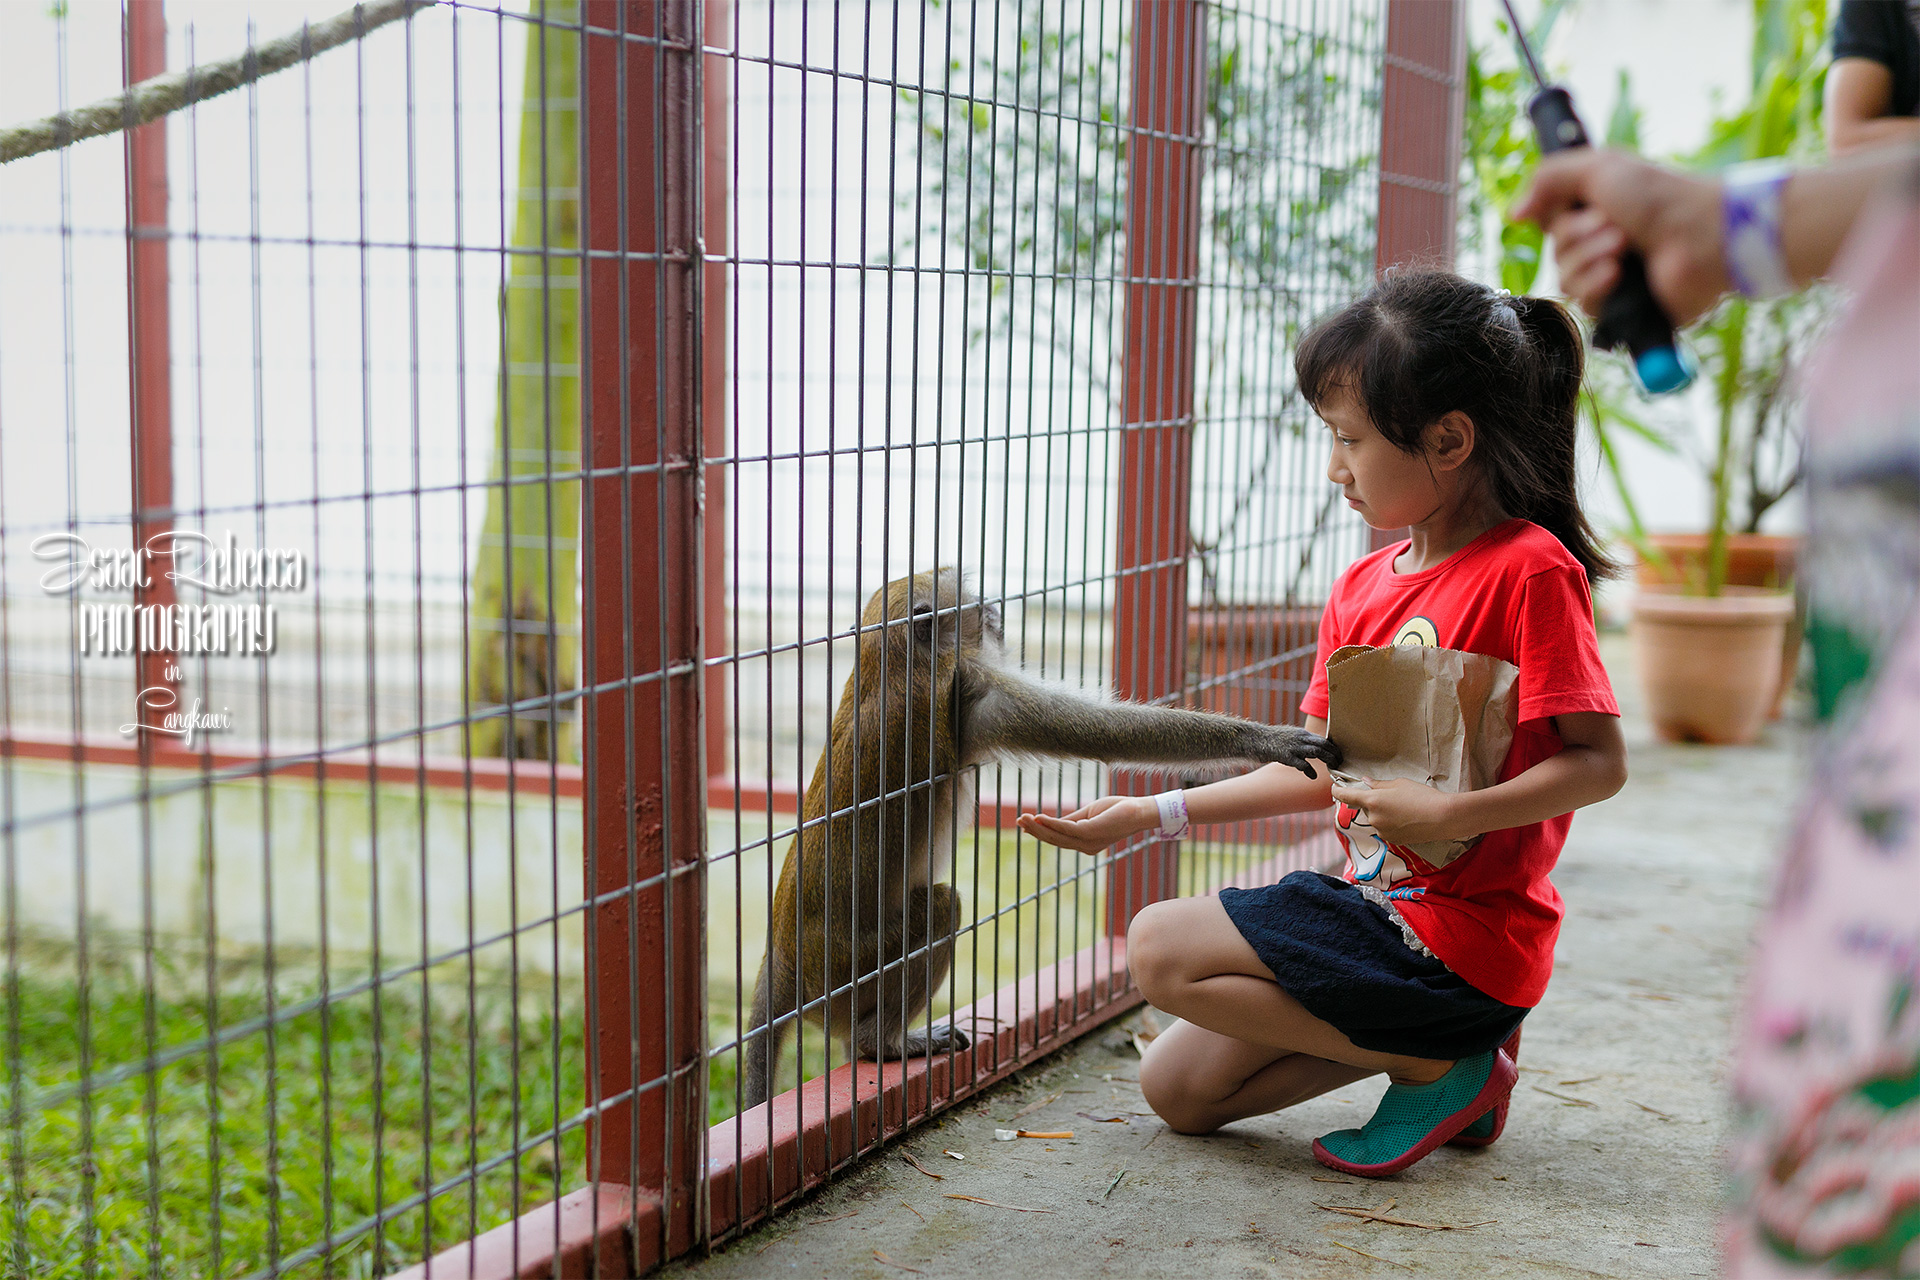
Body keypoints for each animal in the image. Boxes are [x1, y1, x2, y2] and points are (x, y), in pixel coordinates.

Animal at [733, 564, 1336, 1105]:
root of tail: (781, 957)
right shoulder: (976, 691)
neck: (889, 663)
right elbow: (1108, 733)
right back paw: (876, 1044)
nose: (996, 607)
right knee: (940, 907)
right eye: (972, 601)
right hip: (845, 971)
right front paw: (1265, 740)